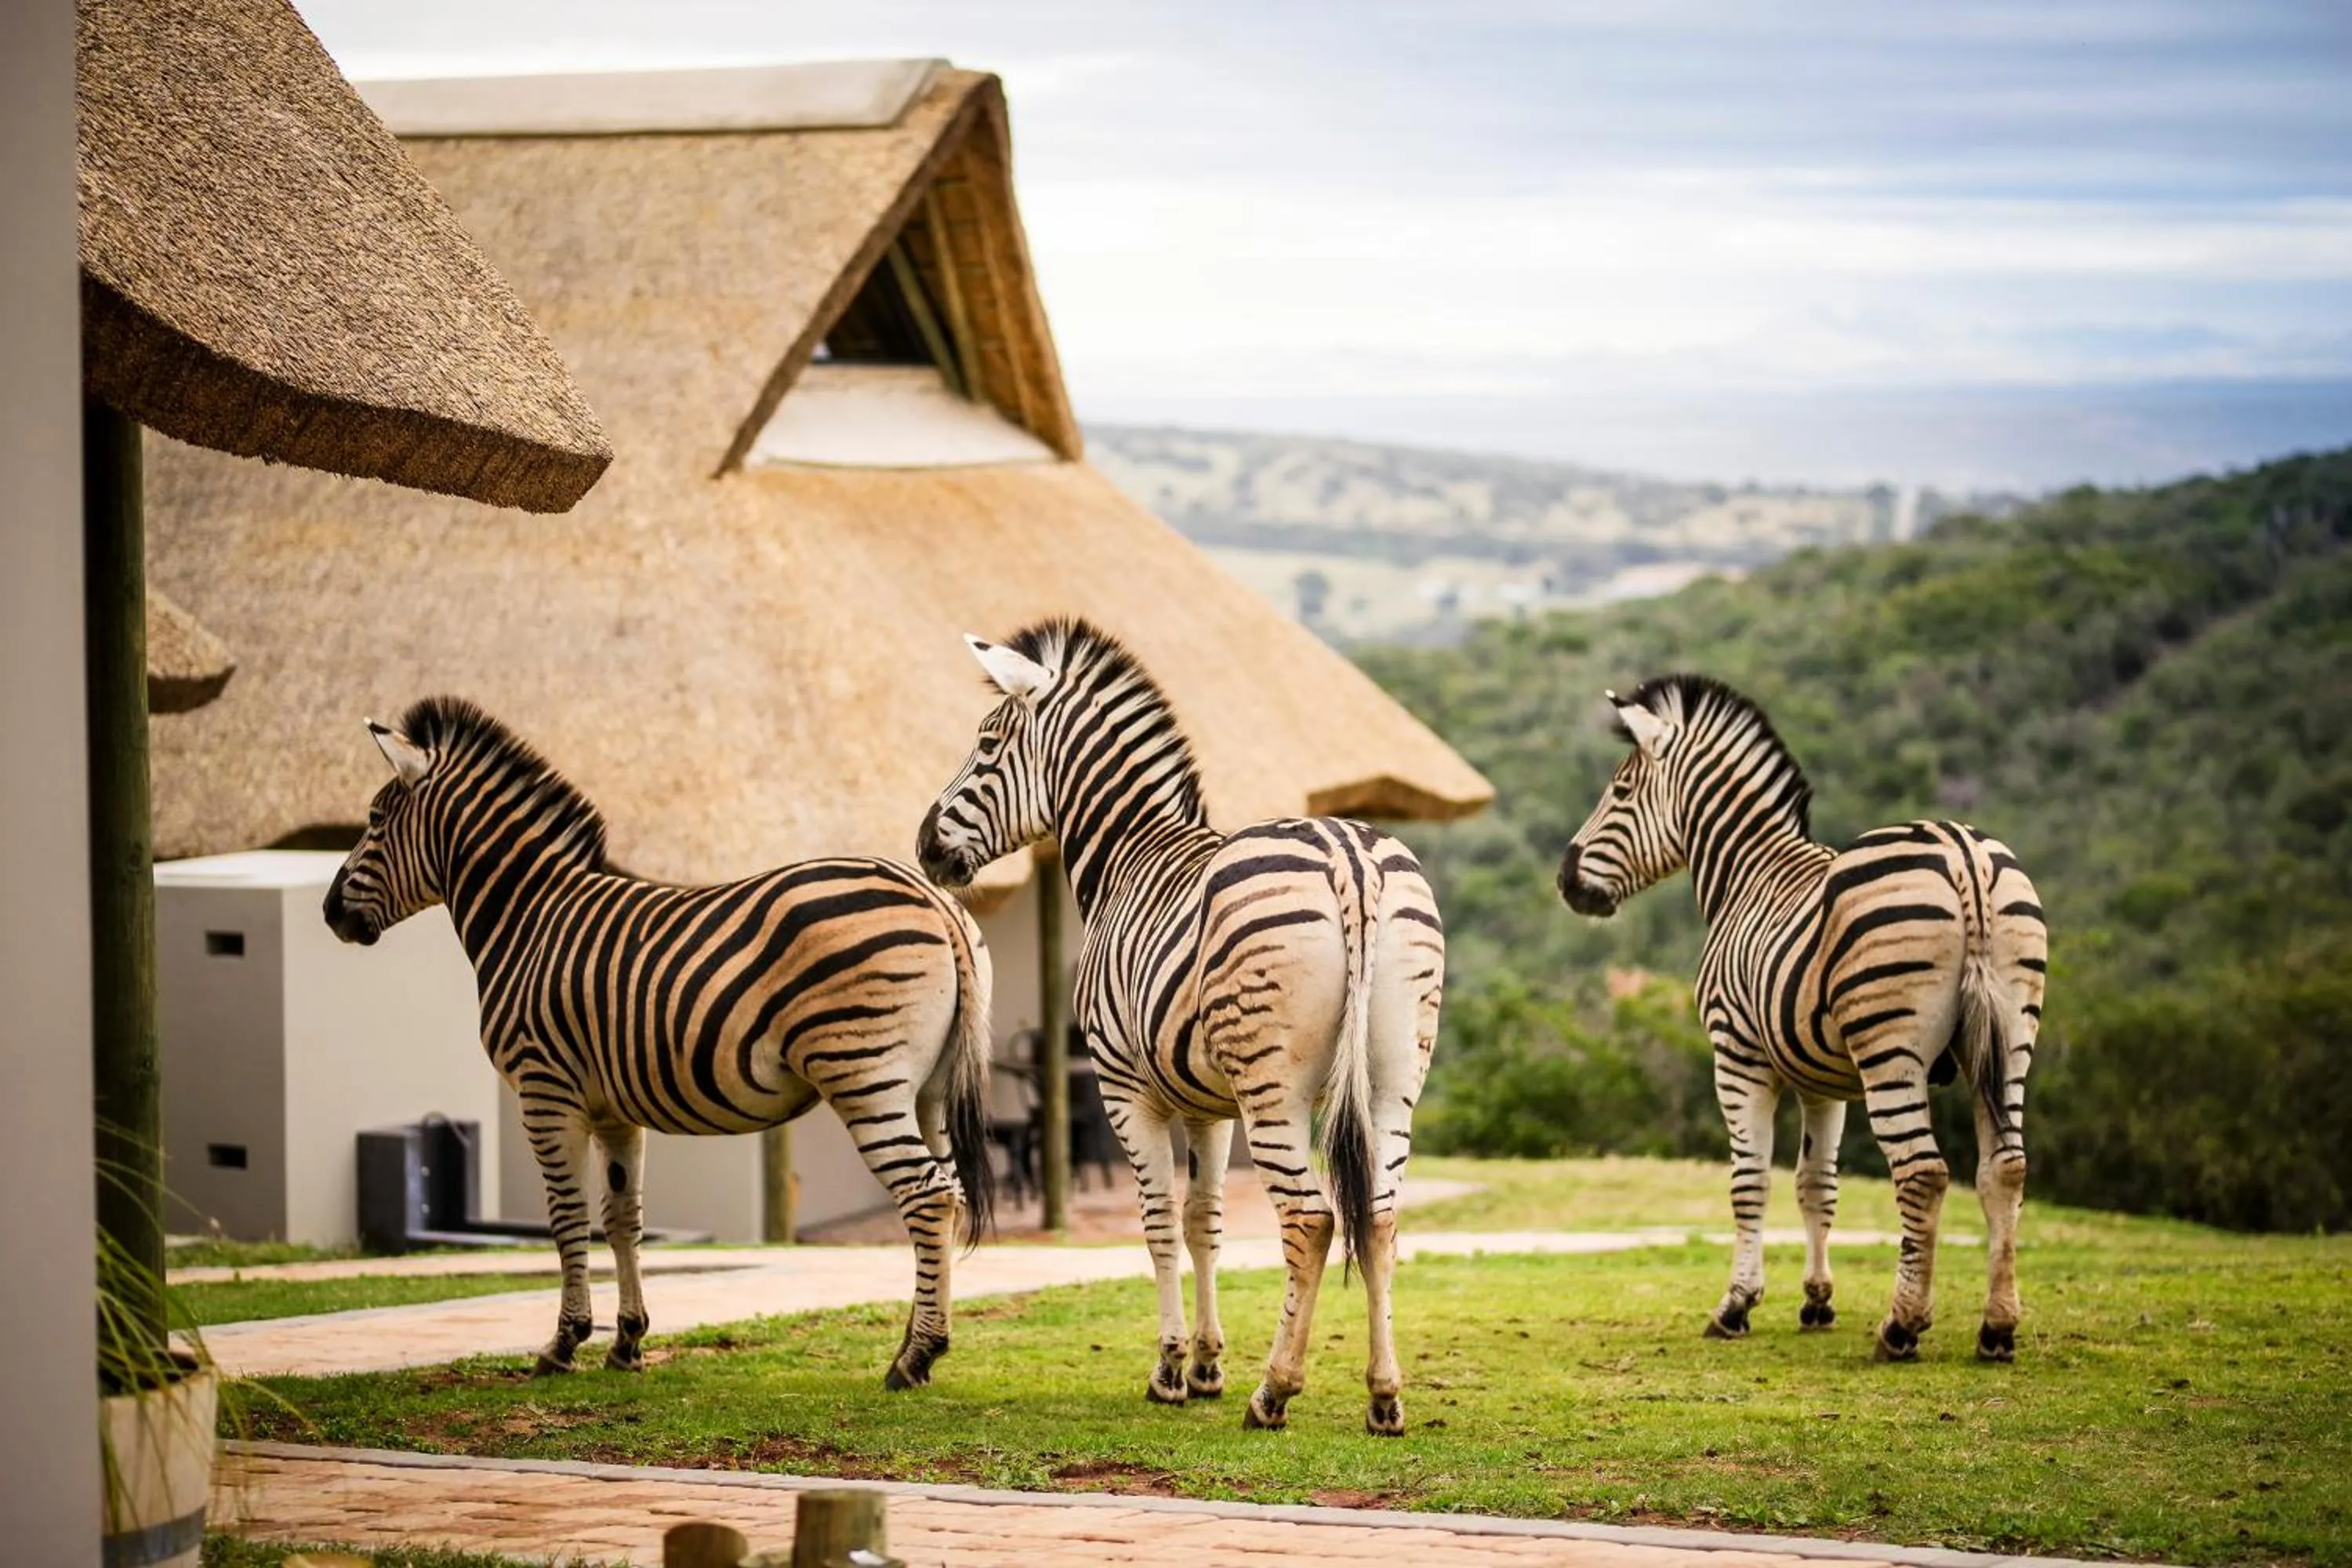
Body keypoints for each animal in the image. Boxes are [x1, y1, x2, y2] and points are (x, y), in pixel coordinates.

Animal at [320, 697, 994, 1388]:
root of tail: (933, 899)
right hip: (930, 1089)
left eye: (373, 819)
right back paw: (921, 1343)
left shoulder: (544, 1090)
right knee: (949, 1193)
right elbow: (624, 1219)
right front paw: (627, 1341)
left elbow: (567, 1217)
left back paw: (914, 1357)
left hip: (863, 1076)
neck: (528, 918)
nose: (328, 912)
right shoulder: (613, 1110)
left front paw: (563, 1343)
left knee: (926, 1195)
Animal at [915, 618, 1446, 1435]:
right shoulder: (1208, 1107)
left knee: (1311, 1220)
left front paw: (1169, 1369)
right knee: (1381, 1220)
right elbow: (1207, 1221)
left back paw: (1275, 1391)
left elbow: (1161, 1217)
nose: (924, 847)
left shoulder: (1125, 1089)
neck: (1128, 856)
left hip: (1275, 1090)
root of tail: (1349, 859)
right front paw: (1206, 1365)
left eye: (987, 744)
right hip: (1393, 1078)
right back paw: (1384, 1396)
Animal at [1555, 675, 2046, 1363]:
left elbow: (1750, 1182)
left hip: (1891, 1049)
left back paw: (1901, 1327)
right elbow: (1817, 1183)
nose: (1565, 881)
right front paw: (1817, 1301)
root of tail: (1962, 853)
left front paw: (1736, 1306)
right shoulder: (1825, 1080)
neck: (1746, 875)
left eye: (1620, 792)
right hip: (2009, 1040)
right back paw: (1997, 1328)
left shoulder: (1737, 1056)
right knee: (2005, 1169)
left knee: (1923, 1174)